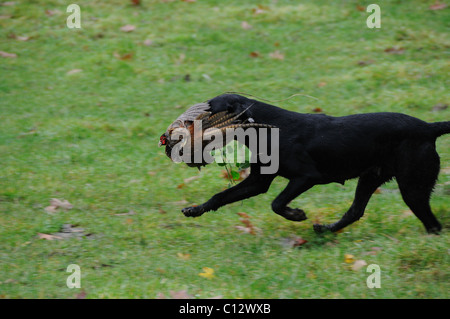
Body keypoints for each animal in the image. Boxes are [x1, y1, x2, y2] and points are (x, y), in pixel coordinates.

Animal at [163, 94, 448, 234]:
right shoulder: (258, 181)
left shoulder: (307, 177)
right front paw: (195, 210)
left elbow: (277, 203)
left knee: (432, 223)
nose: (173, 133)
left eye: (209, 110)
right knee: (355, 211)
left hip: (412, 186)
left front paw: (296, 215)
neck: (272, 128)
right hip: (371, 178)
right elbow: (219, 196)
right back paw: (327, 229)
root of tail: (428, 128)